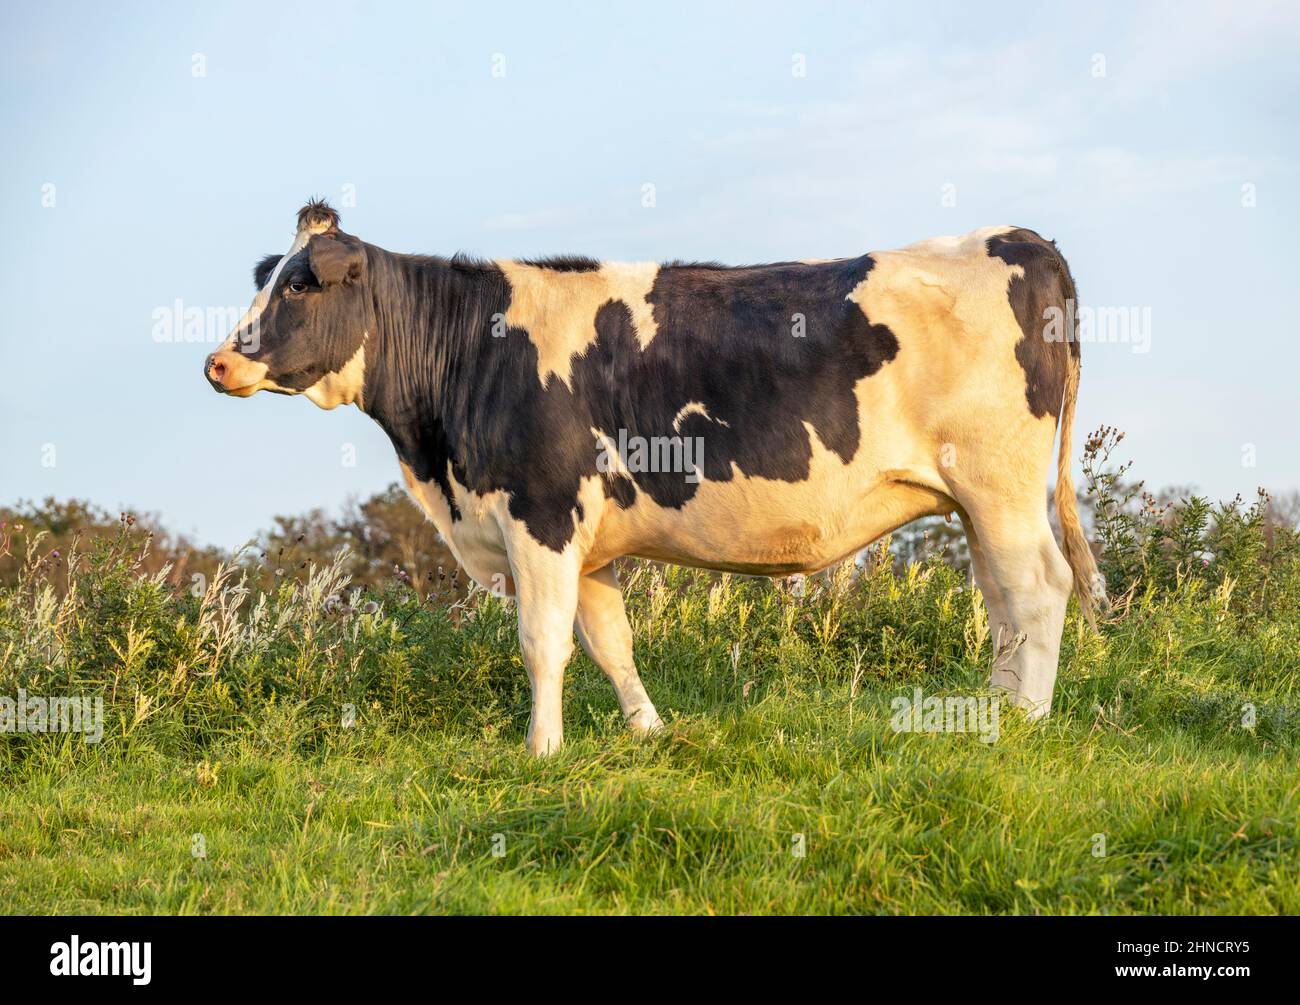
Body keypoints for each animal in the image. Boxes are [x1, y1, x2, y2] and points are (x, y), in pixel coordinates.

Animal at [208, 200, 1102, 754]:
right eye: (268, 275)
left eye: (302, 283)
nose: (218, 361)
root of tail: (1022, 237)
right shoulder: (587, 542)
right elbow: (610, 641)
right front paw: (648, 731)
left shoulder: (541, 515)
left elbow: (541, 642)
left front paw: (540, 748)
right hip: (977, 503)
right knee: (1002, 601)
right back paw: (995, 708)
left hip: (1000, 484)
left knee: (1039, 587)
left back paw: (1029, 717)